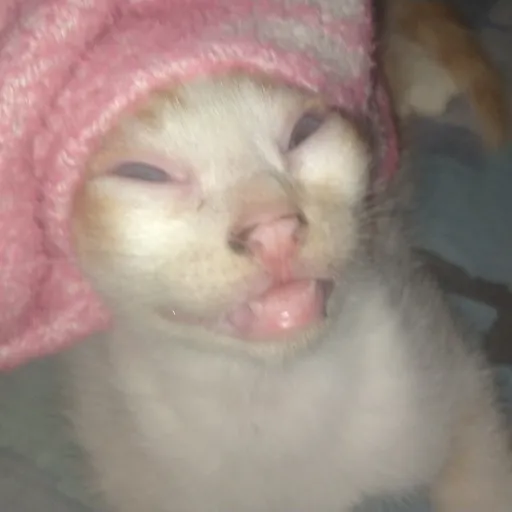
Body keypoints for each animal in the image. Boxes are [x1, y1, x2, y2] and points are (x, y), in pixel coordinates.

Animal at [63, 73, 512, 512]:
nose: (273, 228)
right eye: (144, 174)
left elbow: (481, 476)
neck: (266, 395)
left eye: (306, 130)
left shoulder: (441, 358)